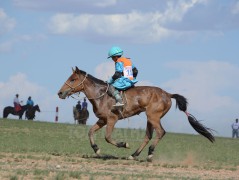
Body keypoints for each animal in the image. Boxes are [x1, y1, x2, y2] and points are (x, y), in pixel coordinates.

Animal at [58, 66, 215, 162]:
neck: (101, 95)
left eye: (73, 79)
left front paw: (124, 144)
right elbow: (90, 132)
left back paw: (150, 154)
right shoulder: (102, 120)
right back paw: (134, 155)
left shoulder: (112, 119)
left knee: (160, 132)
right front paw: (96, 150)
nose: (60, 93)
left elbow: (108, 137)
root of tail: (167, 94)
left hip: (153, 116)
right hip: (150, 118)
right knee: (148, 135)